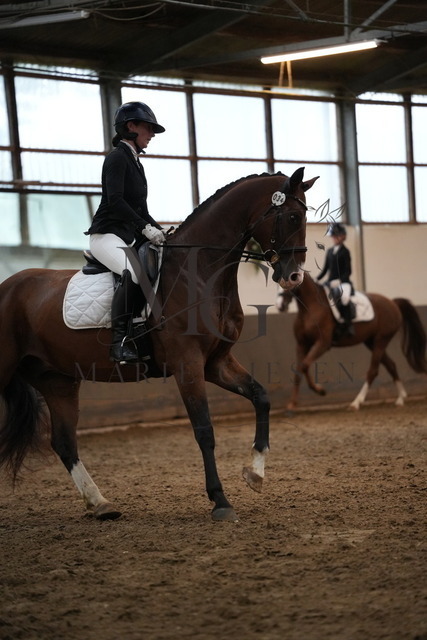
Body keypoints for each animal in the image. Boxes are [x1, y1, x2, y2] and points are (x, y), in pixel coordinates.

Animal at [0, 167, 318, 522]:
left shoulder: (216, 362)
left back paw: (100, 504)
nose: (293, 277)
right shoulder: (187, 363)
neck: (200, 270)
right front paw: (220, 501)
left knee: (64, 442)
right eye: (292, 217)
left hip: (58, 380)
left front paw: (256, 473)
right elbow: (204, 429)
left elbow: (261, 397)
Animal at [276, 273, 427, 410]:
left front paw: (320, 391)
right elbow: (298, 370)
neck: (310, 308)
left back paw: (356, 402)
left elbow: (305, 365)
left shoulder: (322, 344)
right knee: (391, 365)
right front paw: (292, 403)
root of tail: (393, 303)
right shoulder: (301, 345)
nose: (280, 306)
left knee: (373, 371)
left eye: (290, 278)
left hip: (381, 340)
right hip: (371, 342)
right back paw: (401, 398)